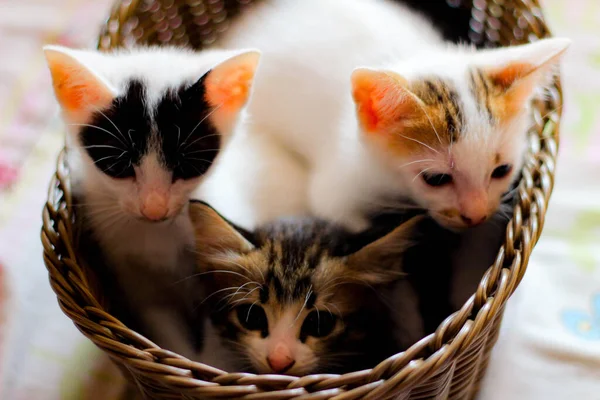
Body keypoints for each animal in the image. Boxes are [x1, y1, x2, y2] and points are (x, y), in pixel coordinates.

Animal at [44, 44, 260, 356]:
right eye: (118, 165)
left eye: (185, 165)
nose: (154, 209)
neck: (159, 236)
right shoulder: (136, 280)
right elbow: (162, 325)